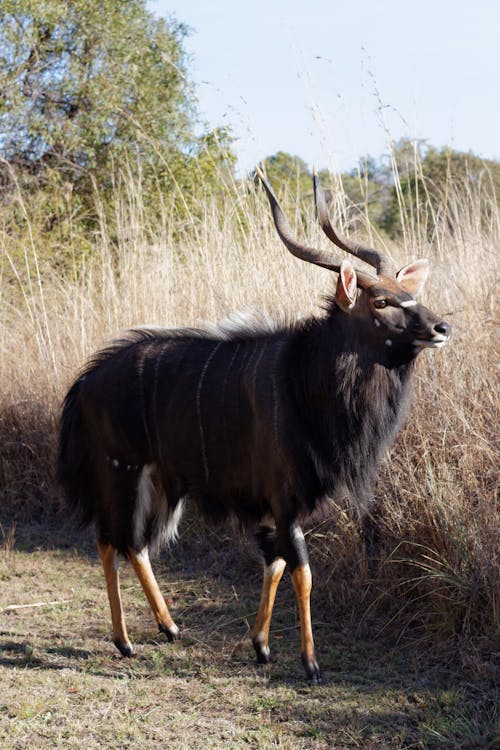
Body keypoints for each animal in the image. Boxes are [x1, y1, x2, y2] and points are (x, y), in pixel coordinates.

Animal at [57, 167, 450, 684]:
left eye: (413, 295)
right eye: (383, 301)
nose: (442, 327)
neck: (305, 379)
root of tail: (85, 382)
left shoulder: (275, 506)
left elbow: (276, 564)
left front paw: (261, 646)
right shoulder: (284, 498)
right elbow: (301, 570)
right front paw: (309, 663)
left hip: (159, 482)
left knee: (136, 544)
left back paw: (169, 627)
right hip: (119, 471)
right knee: (108, 539)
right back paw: (124, 641)